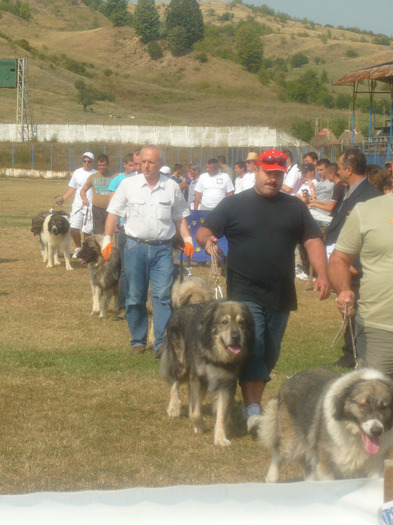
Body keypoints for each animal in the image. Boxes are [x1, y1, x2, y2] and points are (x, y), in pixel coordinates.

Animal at [160, 300, 254, 444]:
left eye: (241, 322)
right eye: (224, 322)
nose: (236, 337)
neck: (215, 354)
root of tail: (180, 308)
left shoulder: (226, 383)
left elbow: (221, 413)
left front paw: (220, 438)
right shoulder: (197, 377)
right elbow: (195, 412)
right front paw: (200, 424)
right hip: (181, 364)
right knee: (174, 382)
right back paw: (173, 408)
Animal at [247, 368, 392, 478]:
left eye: (384, 407)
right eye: (363, 405)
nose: (377, 431)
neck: (354, 436)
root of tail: (289, 380)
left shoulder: (375, 468)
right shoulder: (326, 466)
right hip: (290, 443)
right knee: (277, 454)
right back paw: (272, 478)